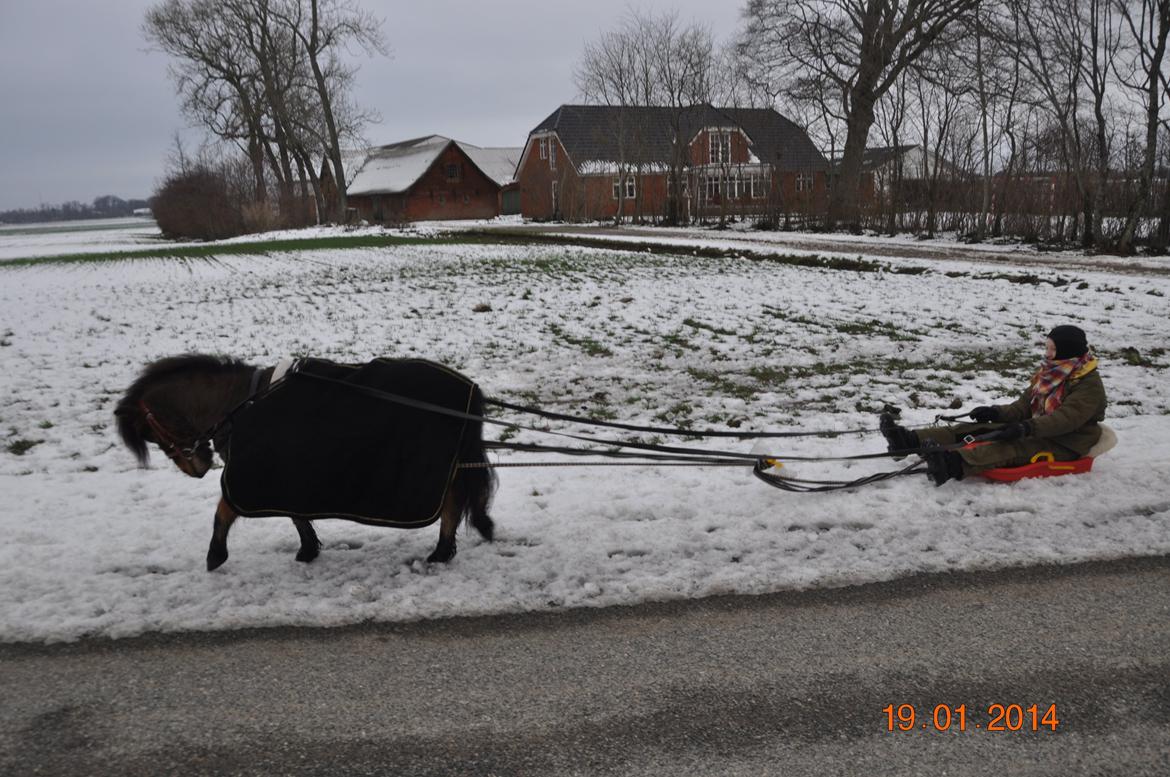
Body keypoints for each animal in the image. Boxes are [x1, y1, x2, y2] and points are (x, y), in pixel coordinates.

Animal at [111, 355, 491, 571]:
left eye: (149, 433)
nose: (197, 467)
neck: (242, 401)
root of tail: (470, 388)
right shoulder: (289, 473)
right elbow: (296, 515)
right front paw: (308, 548)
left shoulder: (256, 474)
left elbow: (223, 511)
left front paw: (215, 555)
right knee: (454, 503)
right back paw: (443, 550)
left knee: (452, 503)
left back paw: (441, 552)